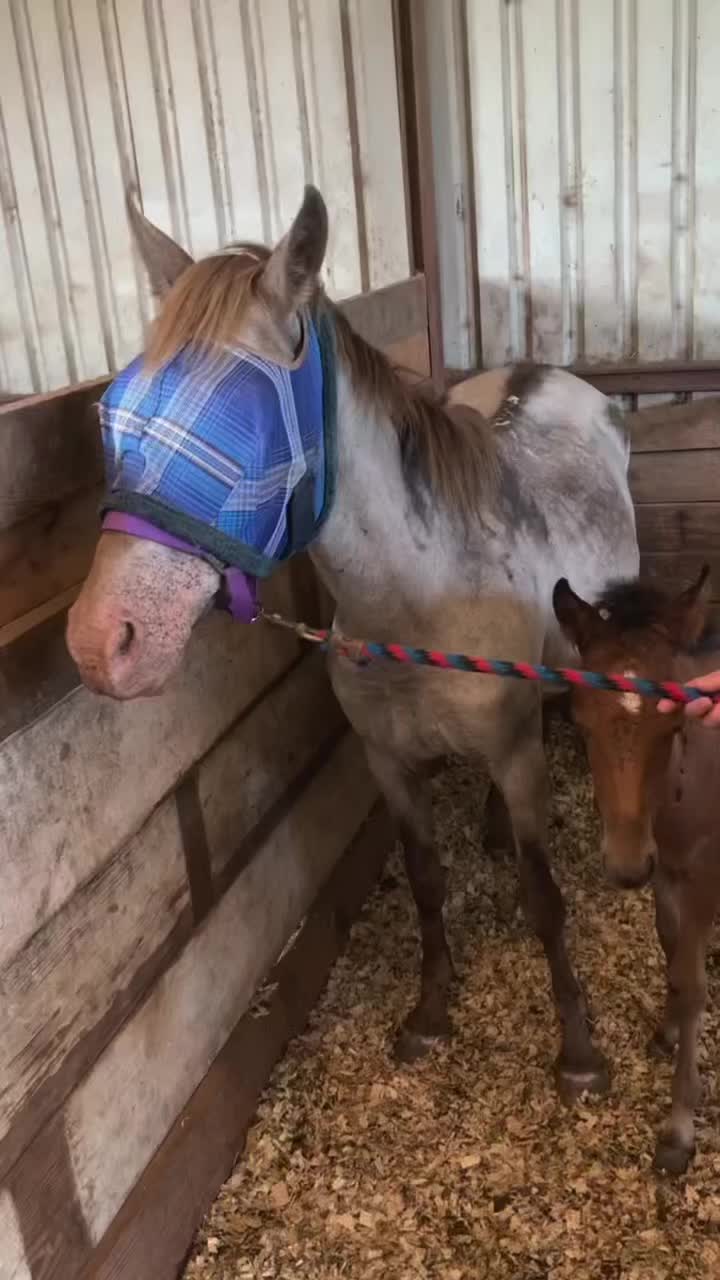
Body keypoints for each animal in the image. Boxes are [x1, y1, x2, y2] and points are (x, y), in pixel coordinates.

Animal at [67, 185, 639, 1103]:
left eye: (240, 418)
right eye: (111, 411)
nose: (101, 642)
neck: (415, 609)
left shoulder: (517, 755)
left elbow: (545, 895)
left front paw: (579, 1053)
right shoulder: (388, 762)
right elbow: (427, 881)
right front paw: (431, 1012)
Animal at [554, 567, 720, 1171]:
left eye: (672, 725)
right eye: (578, 720)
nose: (626, 866)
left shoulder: (704, 875)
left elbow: (693, 984)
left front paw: (679, 1130)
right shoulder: (666, 869)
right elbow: (669, 949)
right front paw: (667, 1032)